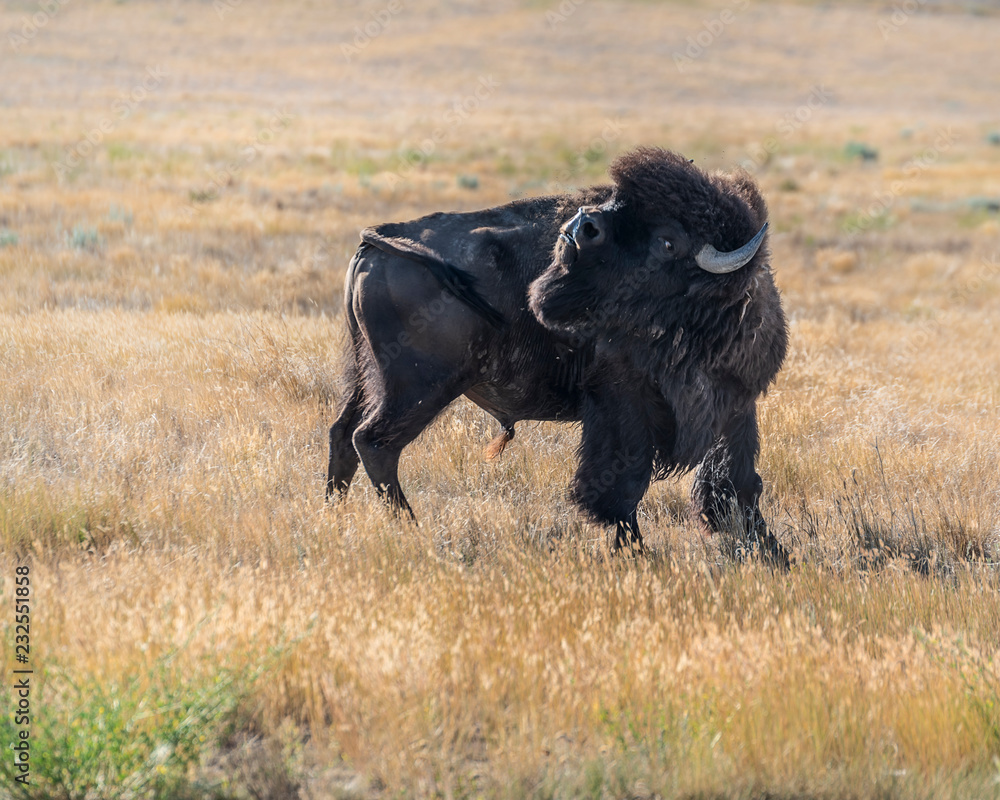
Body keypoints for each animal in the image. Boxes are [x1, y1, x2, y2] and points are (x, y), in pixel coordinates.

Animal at [328, 148, 788, 564]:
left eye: (668, 241)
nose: (582, 225)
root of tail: (378, 241)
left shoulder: (737, 401)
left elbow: (739, 481)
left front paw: (774, 551)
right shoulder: (623, 405)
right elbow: (621, 486)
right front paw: (636, 551)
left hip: (368, 376)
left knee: (343, 435)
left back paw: (334, 515)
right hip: (419, 388)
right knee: (374, 442)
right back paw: (410, 527)